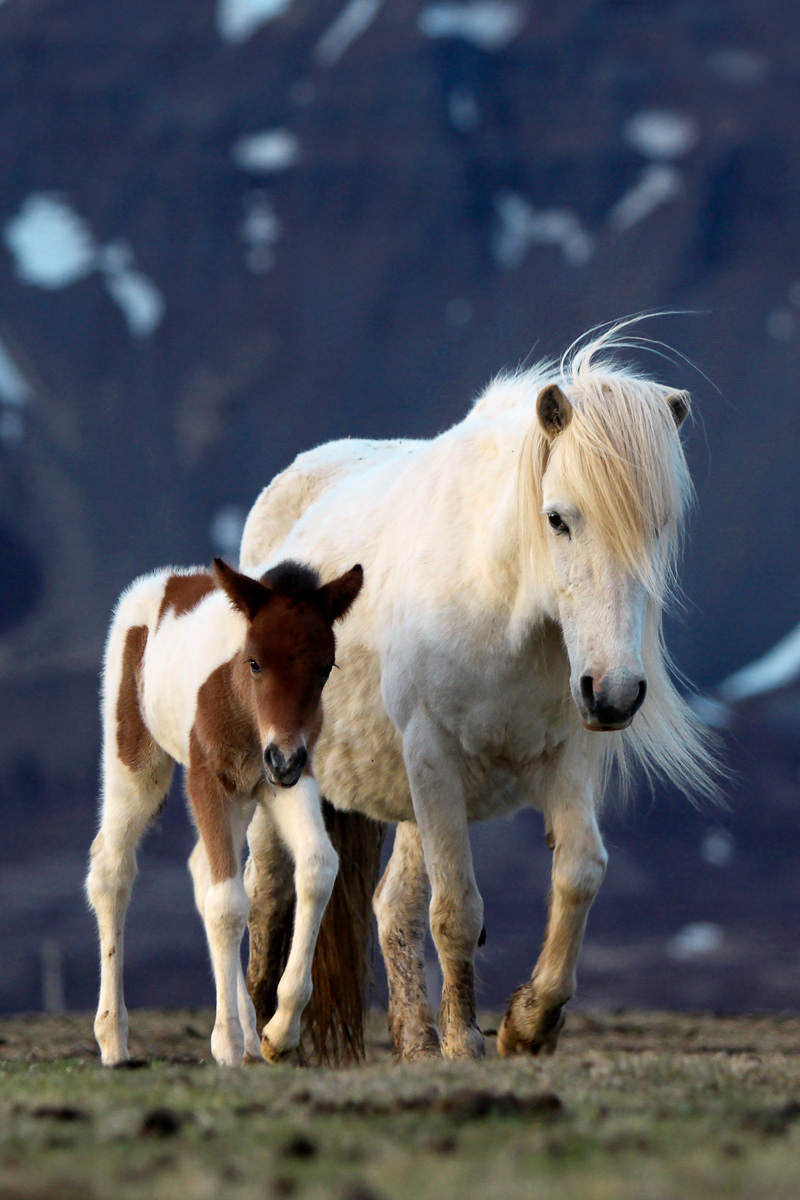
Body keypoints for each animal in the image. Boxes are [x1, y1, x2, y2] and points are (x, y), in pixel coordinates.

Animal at [85, 555, 363, 1066]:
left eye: (325, 667)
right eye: (254, 662)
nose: (282, 758)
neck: (248, 717)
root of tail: (165, 581)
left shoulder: (290, 781)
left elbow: (317, 866)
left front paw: (279, 1032)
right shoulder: (208, 782)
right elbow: (227, 903)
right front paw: (228, 1042)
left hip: (245, 800)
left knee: (205, 871)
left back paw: (252, 1035)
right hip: (134, 761)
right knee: (112, 871)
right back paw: (114, 1040)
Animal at [231, 320, 720, 1062]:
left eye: (657, 527)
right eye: (558, 518)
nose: (614, 692)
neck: (504, 606)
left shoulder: (560, 761)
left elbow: (580, 871)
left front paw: (529, 1021)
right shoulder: (434, 758)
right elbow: (458, 910)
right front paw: (467, 1041)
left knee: (392, 907)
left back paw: (413, 1042)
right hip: (296, 772)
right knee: (270, 888)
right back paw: (269, 1025)